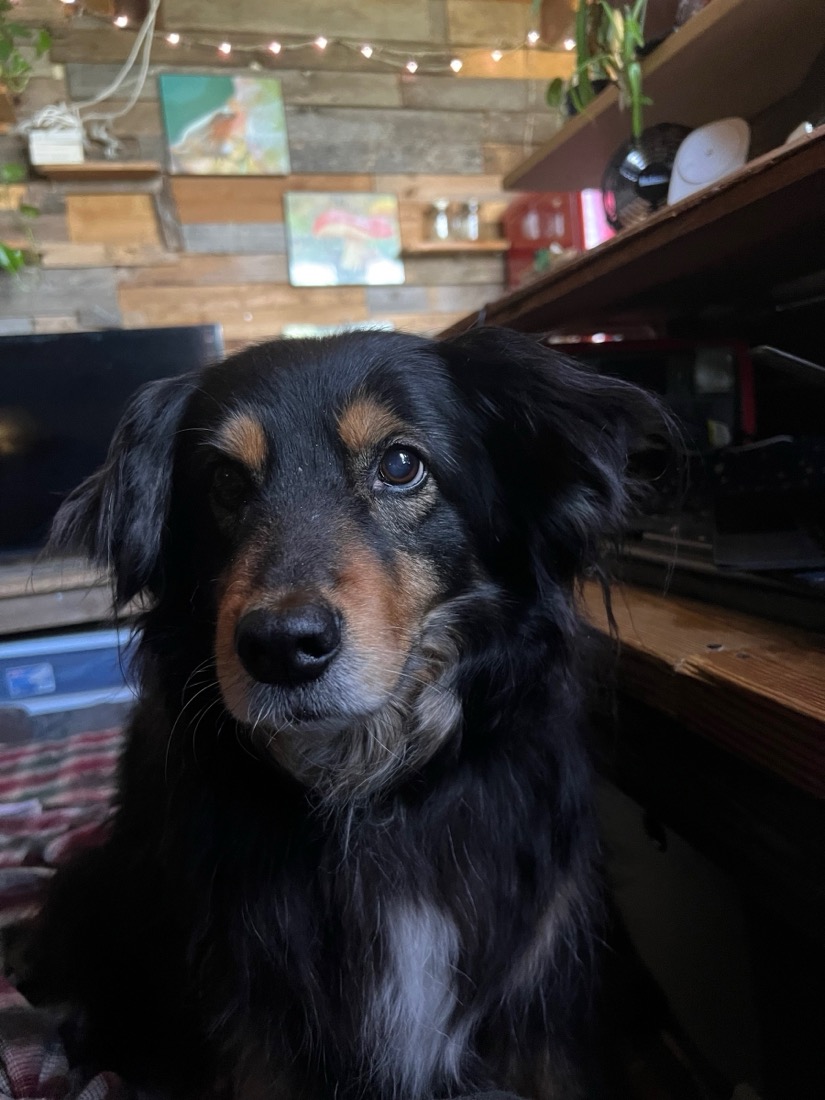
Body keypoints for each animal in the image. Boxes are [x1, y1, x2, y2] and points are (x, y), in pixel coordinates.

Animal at [27, 327, 660, 1100]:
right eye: (225, 483)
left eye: (400, 465)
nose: (280, 647)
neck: (371, 789)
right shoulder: (254, 1019)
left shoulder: (539, 997)